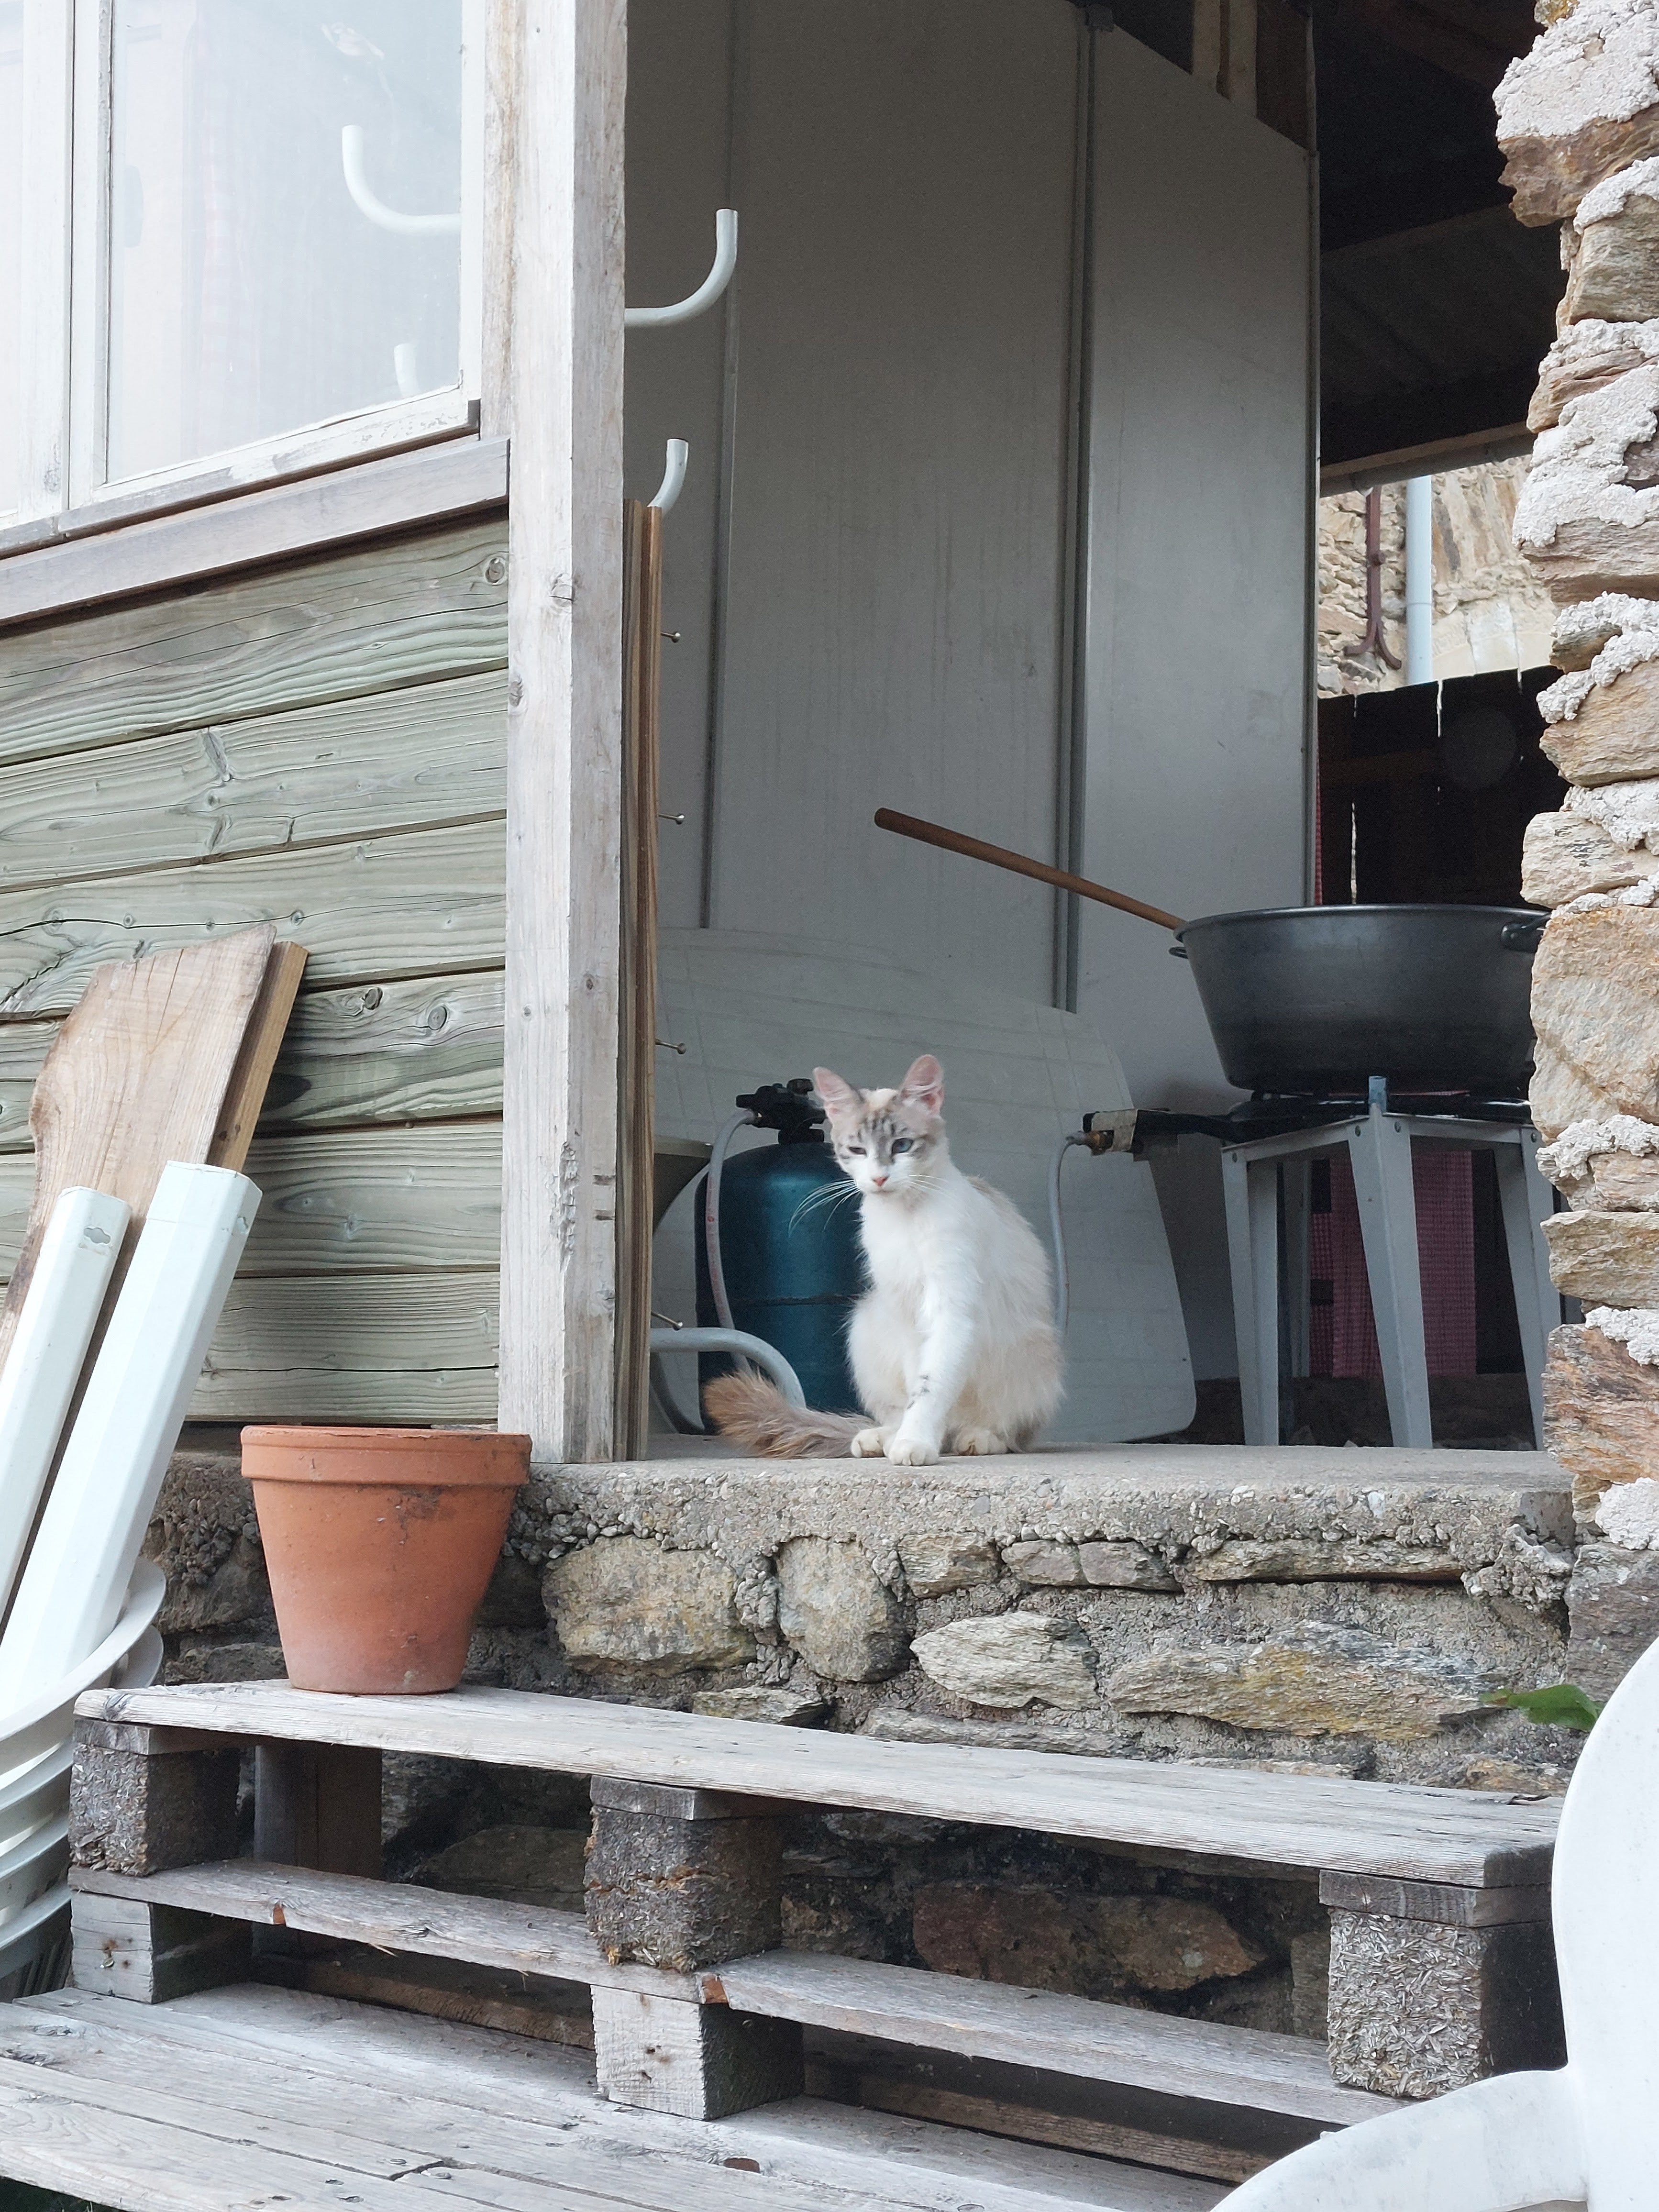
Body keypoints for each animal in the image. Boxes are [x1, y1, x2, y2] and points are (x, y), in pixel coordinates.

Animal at [703, 1053, 1064, 1462]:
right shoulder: (905, 1311)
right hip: (865, 1320)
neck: (902, 1219)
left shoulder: (950, 1309)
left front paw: (917, 1442)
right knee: (898, 1411)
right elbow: (914, 1387)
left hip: (1029, 1356)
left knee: (1009, 1431)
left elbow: (931, 1387)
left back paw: (977, 1437)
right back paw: (884, 1438)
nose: (878, 1179)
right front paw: (909, 1437)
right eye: (858, 1151)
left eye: (902, 1145)